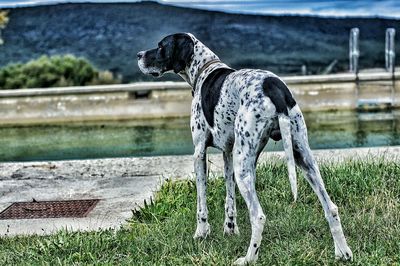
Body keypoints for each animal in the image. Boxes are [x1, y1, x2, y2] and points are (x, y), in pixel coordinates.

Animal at [138, 32, 354, 264]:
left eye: (161, 46)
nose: (139, 55)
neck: (205, 68)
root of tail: (273, 86)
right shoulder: (228, 153)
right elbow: (229, 198)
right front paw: (230, 229)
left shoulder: (199, 152)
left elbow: (201, 202)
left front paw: (201, 232)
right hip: (301, 157)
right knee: (331, 208)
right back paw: (342, 252)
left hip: (244, 166)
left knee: (258, 216)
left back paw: (249, 258)